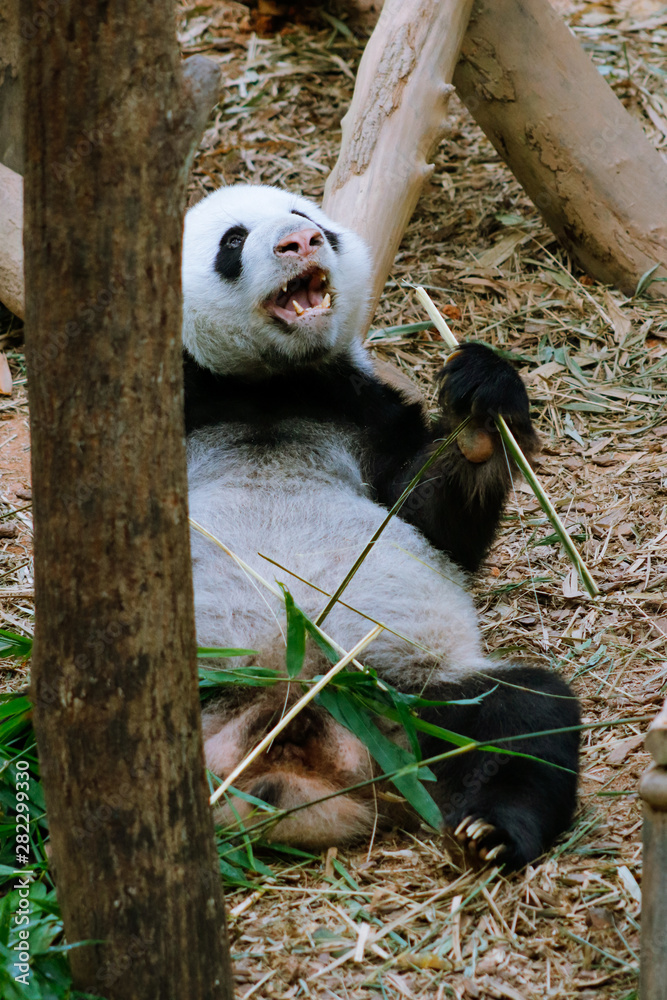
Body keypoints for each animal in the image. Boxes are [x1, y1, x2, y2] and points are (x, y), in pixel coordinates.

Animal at [182, 183, 580, 870]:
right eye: (232, 241)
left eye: (306, 218)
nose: (299, 241)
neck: (272, 385)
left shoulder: (366, 410)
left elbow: (432, 523)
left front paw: (480, 414)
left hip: (417, 694)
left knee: (528, 713)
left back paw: (494, 828)